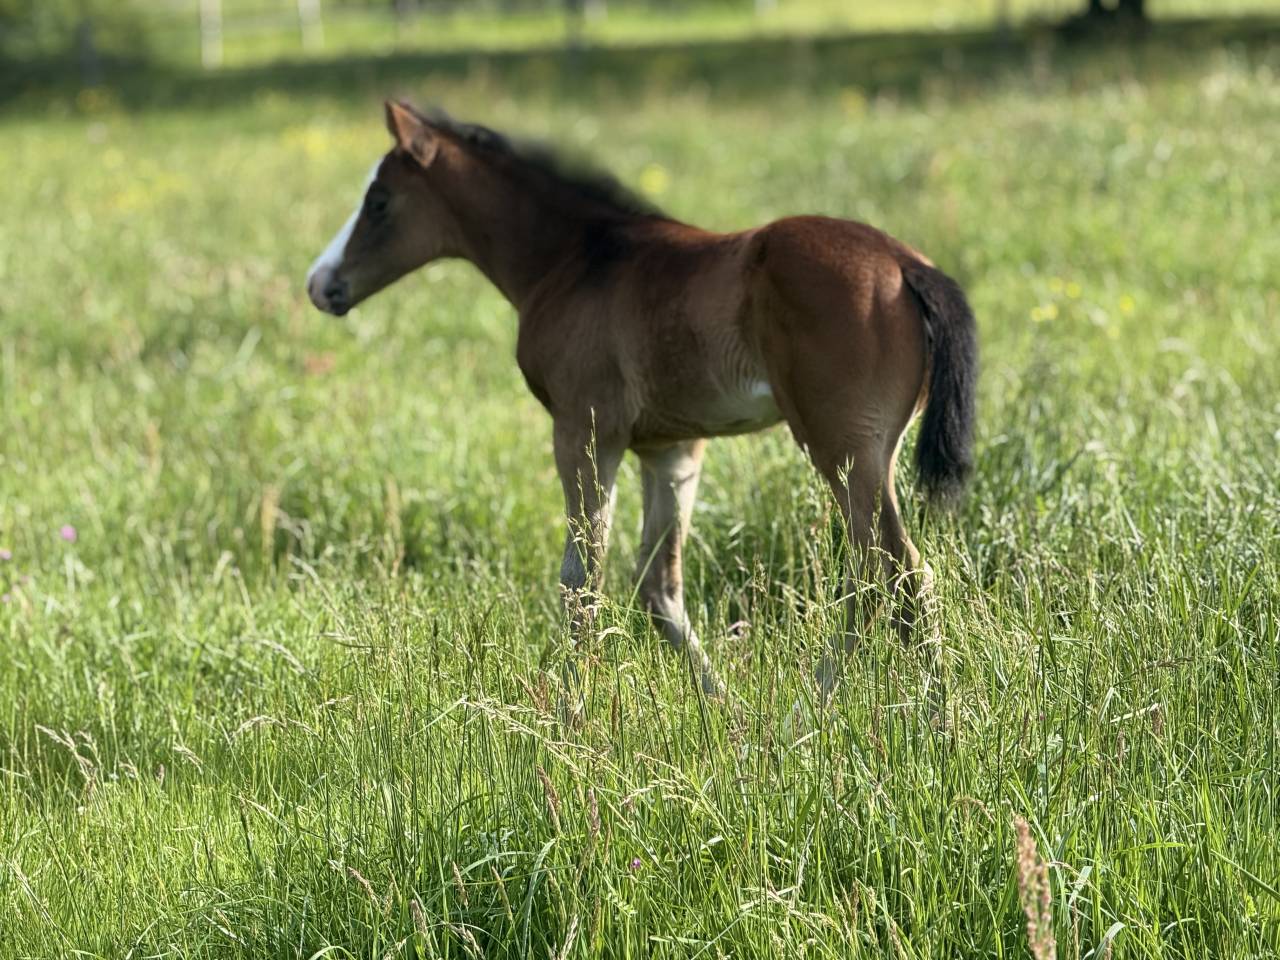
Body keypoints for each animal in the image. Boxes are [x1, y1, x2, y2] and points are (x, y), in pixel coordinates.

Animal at [306, 100, 976, 701]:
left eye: (379, 201)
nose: (321, 284)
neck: (577, 260)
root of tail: (906, 264)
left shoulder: (584, 430)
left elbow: (581, 578)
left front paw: (573, 718)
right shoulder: (671, 450)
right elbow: (657, 586)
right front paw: (725, 714)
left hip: (842, 446)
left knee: (897, 573)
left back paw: (877, 714)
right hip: (863, 452)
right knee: (882, 574)